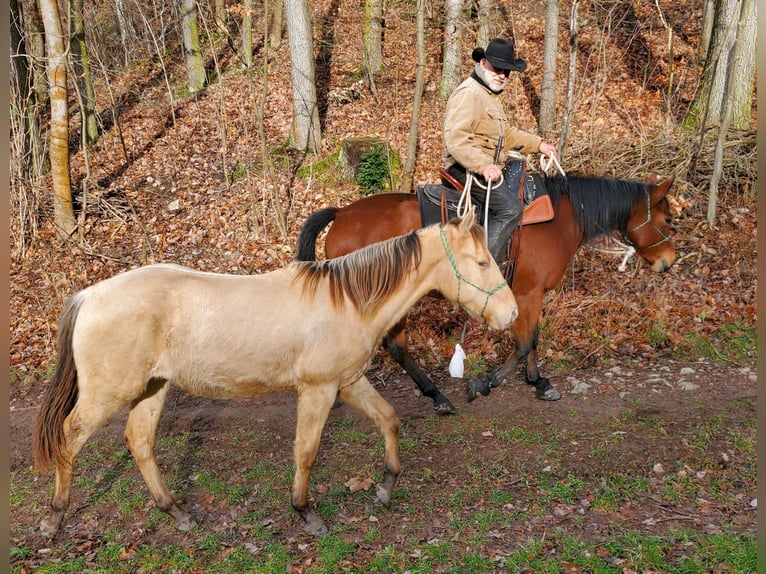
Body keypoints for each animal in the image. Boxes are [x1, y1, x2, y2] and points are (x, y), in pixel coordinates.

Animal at [33, 212, 520, 540]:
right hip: (108, 393)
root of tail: (88, 296)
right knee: (69, 437)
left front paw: (385, 487)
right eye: (480, 262)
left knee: (139, 442)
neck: (347, 301)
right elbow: (305, 451)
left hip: (152, 389)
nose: (511, 314)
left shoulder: (348, 383)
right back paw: (54, 518)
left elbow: (389, 419)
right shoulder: (318, 390)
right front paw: (306, 513)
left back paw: (177, 511)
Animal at [296, 173, 680, 412]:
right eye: (667, 220)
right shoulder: (528, 294)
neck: (562, 219)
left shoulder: (531, 295)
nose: (670, 261)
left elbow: (533, 339)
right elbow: (523, 343)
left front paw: (538, 381)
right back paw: (435, 395)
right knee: (393, 346)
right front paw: (485, 383)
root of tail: (342, 214)